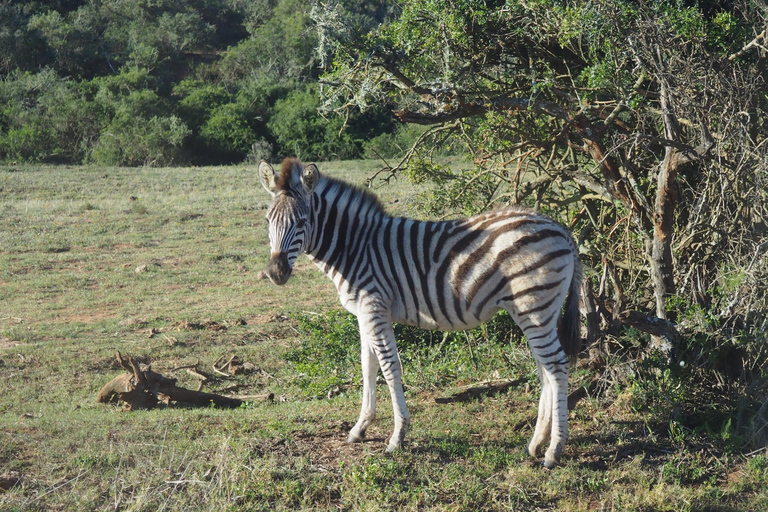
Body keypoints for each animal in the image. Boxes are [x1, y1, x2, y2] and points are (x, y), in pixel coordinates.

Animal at [258, 159, 584, 468]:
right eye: (267, 221)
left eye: (301, 221)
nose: (276, 273)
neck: (354, 248)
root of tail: (562, 230)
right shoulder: (364, 313)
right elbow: (367, 367)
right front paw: (359, 428)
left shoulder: (374, 307)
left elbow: (389, 368)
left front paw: (397, 436)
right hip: (536, 311)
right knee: (545, 370)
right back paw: (536, 443)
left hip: (534, 306)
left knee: (557, 366)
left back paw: (553, 451)